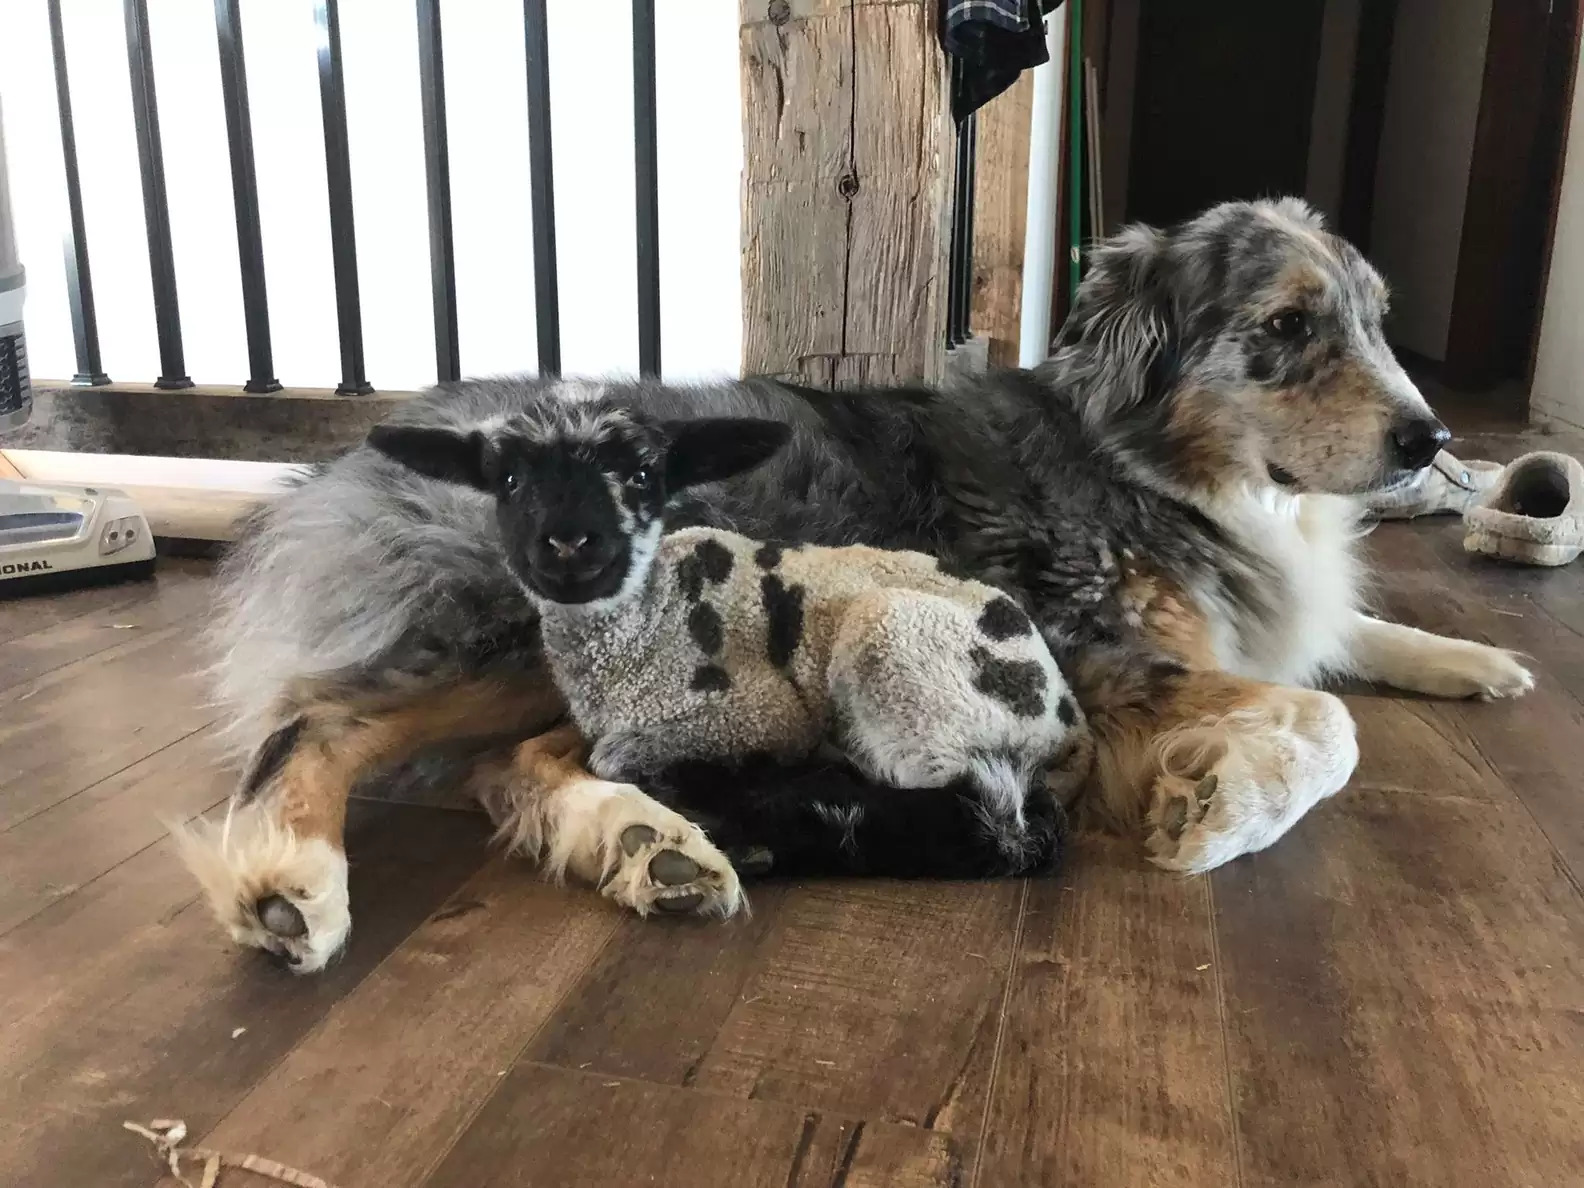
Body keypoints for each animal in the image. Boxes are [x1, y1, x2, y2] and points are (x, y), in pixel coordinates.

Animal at [367, 405, 1089, 880]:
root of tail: (1068, 721)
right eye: (508, 481)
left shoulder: (755, 713)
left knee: (974, 807)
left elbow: (618, 758)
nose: (569, 544)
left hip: (894, 656)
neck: (648, 622)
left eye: (644, 477)